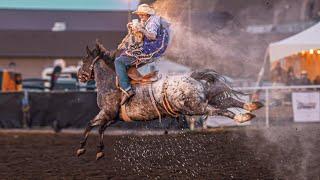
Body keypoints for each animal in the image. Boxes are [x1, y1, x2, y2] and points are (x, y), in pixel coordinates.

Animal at [75, 42, 262, 160]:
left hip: (196, 107)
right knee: (229, 101)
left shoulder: (108, 113)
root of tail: (191, 77)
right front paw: (85, 148)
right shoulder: (111, 117)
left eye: (84, 60)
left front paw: (93, 150)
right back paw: (251, 106)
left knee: (221, 110)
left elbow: (96, 126)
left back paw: (243, 117)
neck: (112, 83)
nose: (79, 76)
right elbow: (92, 125)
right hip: (208, 96)